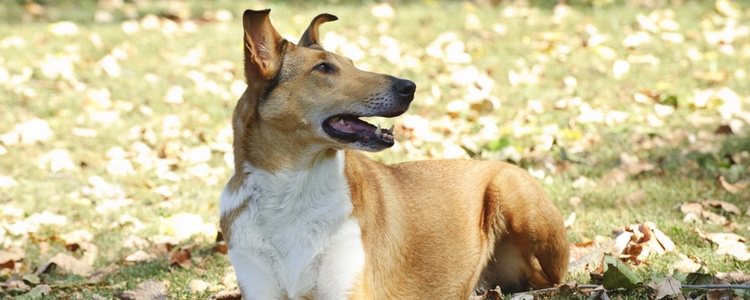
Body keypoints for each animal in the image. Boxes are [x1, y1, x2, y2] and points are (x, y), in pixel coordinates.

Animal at [220, 8, 572, 298]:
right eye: (323, 68)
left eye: (351, 63)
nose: (409, 87)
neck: (291, 192)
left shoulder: (350, 291)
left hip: (517, 201)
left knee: (552, 281)